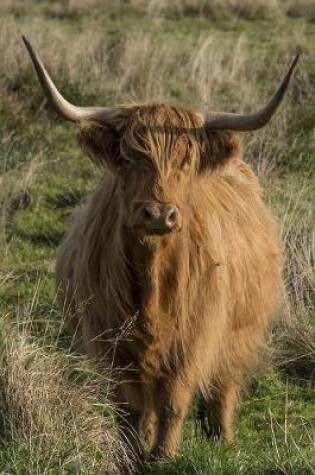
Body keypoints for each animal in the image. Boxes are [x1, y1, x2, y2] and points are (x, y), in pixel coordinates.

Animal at [24, 36, 298, 468]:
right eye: (129, 158)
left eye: (186, 160)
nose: (158, 213)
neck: (152, 279)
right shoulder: (113, 345)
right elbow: (129, 410)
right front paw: (131, 457)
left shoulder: (194, 339)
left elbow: (174, 400)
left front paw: (165, 457)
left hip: (238, 332)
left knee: (223, 388)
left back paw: (224, 441)